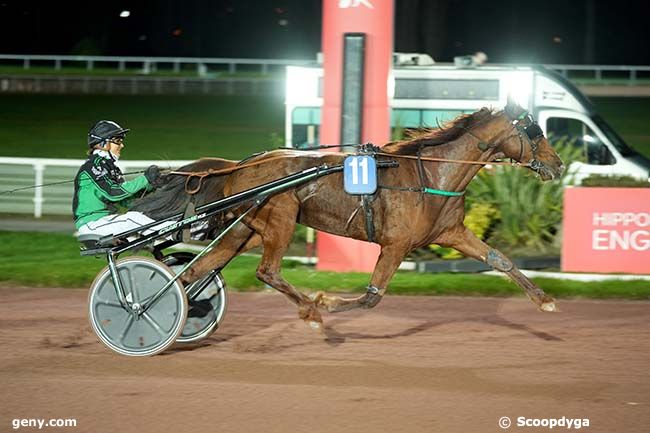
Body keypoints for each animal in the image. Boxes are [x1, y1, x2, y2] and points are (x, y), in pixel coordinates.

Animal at [130, 100, 560, 328]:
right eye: (535, 132)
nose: (557, 165)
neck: (432, 175)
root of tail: (240, 164)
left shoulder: (450, 233)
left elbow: (499, 259)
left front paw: (544, 300)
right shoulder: (396, 244)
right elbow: (371, 297)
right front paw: (327, 303)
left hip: (246, 229)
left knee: (195, 272)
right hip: (280, 218)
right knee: (266, 271)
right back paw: (309, 309)